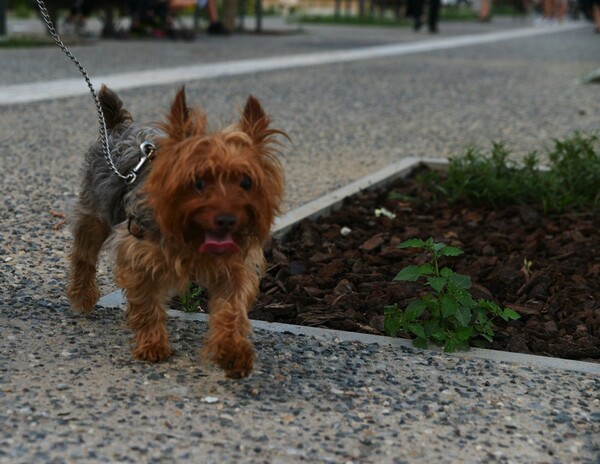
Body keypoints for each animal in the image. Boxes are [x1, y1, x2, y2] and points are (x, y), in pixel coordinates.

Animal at [67, 86, 288, 376]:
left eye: (246, 182)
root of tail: (119, 127)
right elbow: (147, 302)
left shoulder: (236, 265)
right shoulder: (138, 252)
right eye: (198, 182)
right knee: (84, 253)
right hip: (95, 211)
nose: (227, 219)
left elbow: (233, 306)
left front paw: (232, 349)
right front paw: (152, 344)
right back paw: (82, 296)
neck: (194, 234)